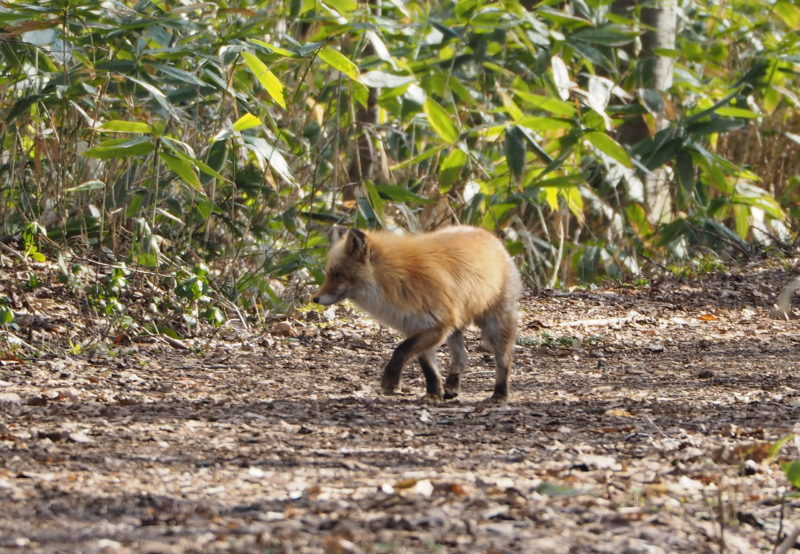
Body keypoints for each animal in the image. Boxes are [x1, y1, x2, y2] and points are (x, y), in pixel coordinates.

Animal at [310, 224, 520, 402]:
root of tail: (488, 235)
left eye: (337, 274)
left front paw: (390, 383)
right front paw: (433, 394)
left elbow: (400, 351)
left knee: (504, 360)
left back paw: (500, 395)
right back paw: (452, 387)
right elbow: (428, 368)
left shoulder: (437, 326)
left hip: (495, 325)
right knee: (462, 356)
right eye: (328, 274)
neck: (396, 281)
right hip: (456, 329)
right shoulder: (418, 326)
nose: (315, 299)